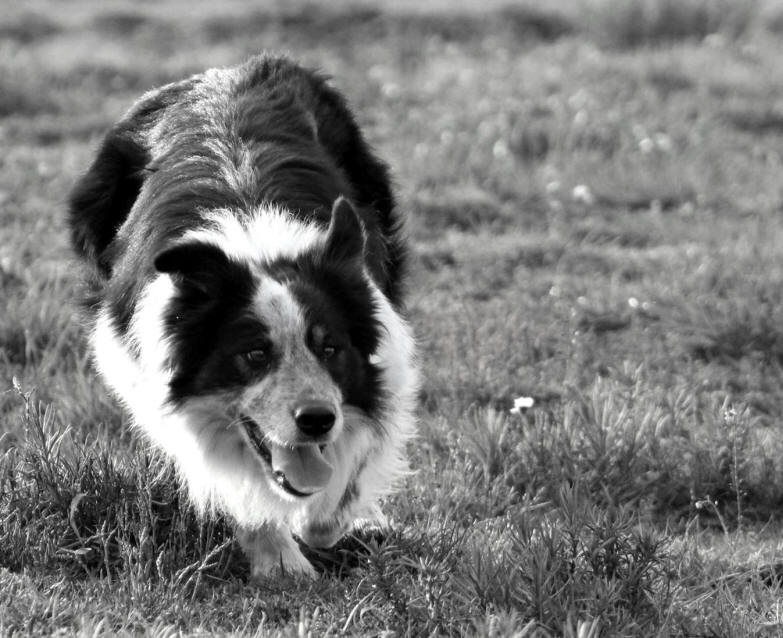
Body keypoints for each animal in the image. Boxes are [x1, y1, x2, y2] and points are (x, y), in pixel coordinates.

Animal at [69, 56, 416, 580]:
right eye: (254, 355)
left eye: (330, 348)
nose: (318, 420)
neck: (257, 246)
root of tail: (226, 70)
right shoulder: (142, 369)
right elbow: (235, 485)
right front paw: (281, 563)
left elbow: (353, 462)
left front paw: (330, 521)